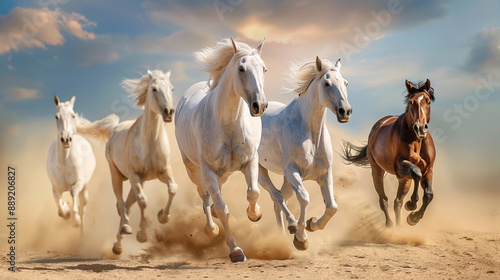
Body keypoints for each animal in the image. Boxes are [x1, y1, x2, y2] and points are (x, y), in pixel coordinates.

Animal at [47, 95, 97, 231]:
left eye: (73, 115)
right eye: (56, 116)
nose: (66, 139)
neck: (65, 163)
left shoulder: (78, 183)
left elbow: (73, 193)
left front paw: (76, 221)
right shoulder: (55, 187)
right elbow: (60, 210)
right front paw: (67, 211)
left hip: (85, 189)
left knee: (82, 208)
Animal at [77, 69, 179, 254]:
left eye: (172, 88)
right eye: (154, 89)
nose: (169, 112)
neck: (150, 141)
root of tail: (114, 129)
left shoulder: (164, 172)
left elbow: (173, 189)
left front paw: (163, 217)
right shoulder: (135, 176)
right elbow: (143, 201)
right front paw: (142, 236)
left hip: (138, 181)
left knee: (127, 205)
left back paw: (118, 244)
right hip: (117, 176)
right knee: (120, 204)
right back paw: (123, 234)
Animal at [177, 37, 270, 262]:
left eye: (264, 68)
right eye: (241, 68)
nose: (260, 106)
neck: (228, 124)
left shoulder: (250, 162)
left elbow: (253, 192)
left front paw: (255, 214)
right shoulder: (208, 170)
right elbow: (222, 208)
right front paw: (235, 251)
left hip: (225, 171)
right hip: (194, 170)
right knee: (204, 194)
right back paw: (211, 229)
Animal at [258, 56, 352, 249]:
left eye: (345, 83)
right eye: (327, 83)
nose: (345, 111)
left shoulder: (324, 174)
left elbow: (332, 207)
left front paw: (312, 224)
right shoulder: (293, 171)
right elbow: (304, 198)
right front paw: (301, 238)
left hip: (286, 180)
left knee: (278, 201)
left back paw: (281, 237)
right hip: (260, 172)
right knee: (277, 196)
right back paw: (291, 226)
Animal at [342, 79, 436, 228]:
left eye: (428, 101)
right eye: (411, 102)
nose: (420, 128)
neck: (416, 141)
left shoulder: (428, 169)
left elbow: (428, 195)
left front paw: (414, 217)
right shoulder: (400, 167)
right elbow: (416, 172)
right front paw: (412, 204)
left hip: (404, 179)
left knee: (397, 202)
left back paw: (399, 226)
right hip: (378, 172)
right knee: (384, 200)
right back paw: (390, 224)